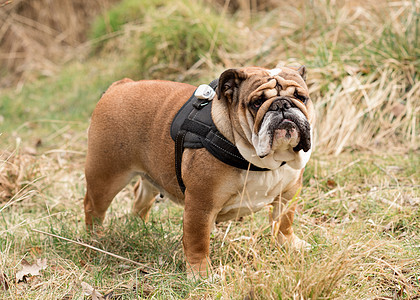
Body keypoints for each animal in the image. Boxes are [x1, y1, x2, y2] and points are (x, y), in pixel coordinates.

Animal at [83, 67, 316, 278]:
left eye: (301, 97)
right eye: (256, 103)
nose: (282, 104)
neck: (263, 161)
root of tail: (120, 85)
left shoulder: (289, 194)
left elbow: (284, 222)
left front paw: (289, 244)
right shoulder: (201, 204)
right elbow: (197, 241)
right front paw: (200, 274)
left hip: (151, 175)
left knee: (141, 197)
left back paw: (140, 227)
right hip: (106, 175)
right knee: (93, 207)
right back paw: (96, 238)